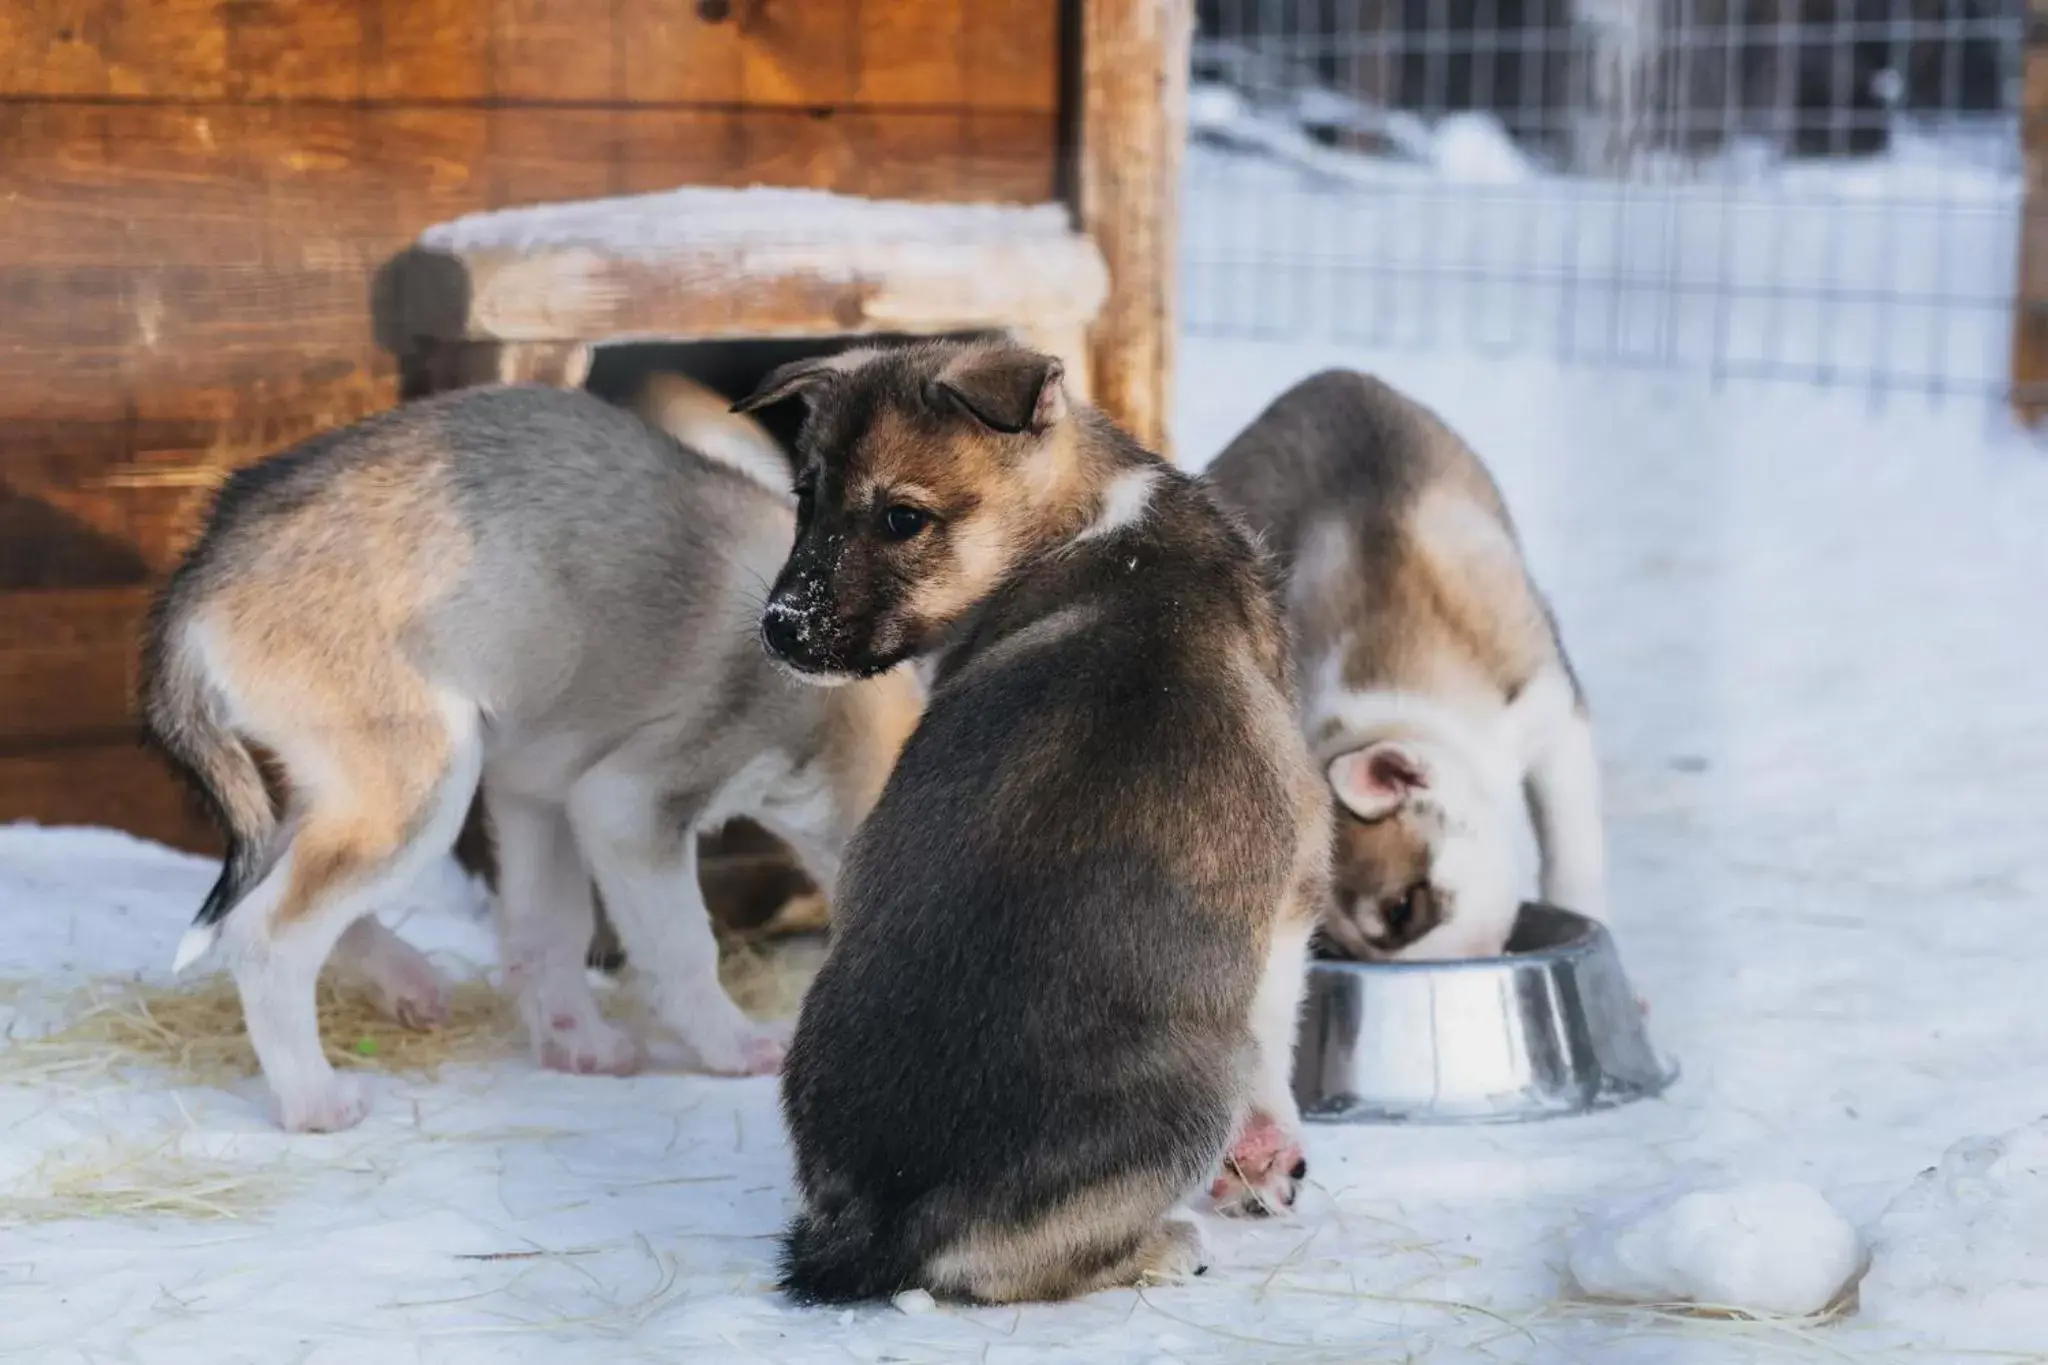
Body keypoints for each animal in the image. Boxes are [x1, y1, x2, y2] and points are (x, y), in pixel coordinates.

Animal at [140, 382, 917, 1129]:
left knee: (286, 893)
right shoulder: (628, 805)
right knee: (265, 935)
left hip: (347, 790)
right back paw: (314, 1101)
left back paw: (408, 984)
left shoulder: (541, 793)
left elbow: (550, 930)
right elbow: (683, 948)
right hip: (421, 785)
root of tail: (204, 569)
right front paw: (734, 1046)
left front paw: (576, 1042)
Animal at [745, 339, 1335, 1301]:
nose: (779, 631)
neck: (1093, 522)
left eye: (902, 518)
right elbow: (1275, 1028)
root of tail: (891, 1215)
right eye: (807, 495)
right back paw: (1165, 1245)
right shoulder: (1296, 883)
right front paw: (1265, 1153)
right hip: (1191, 1096)